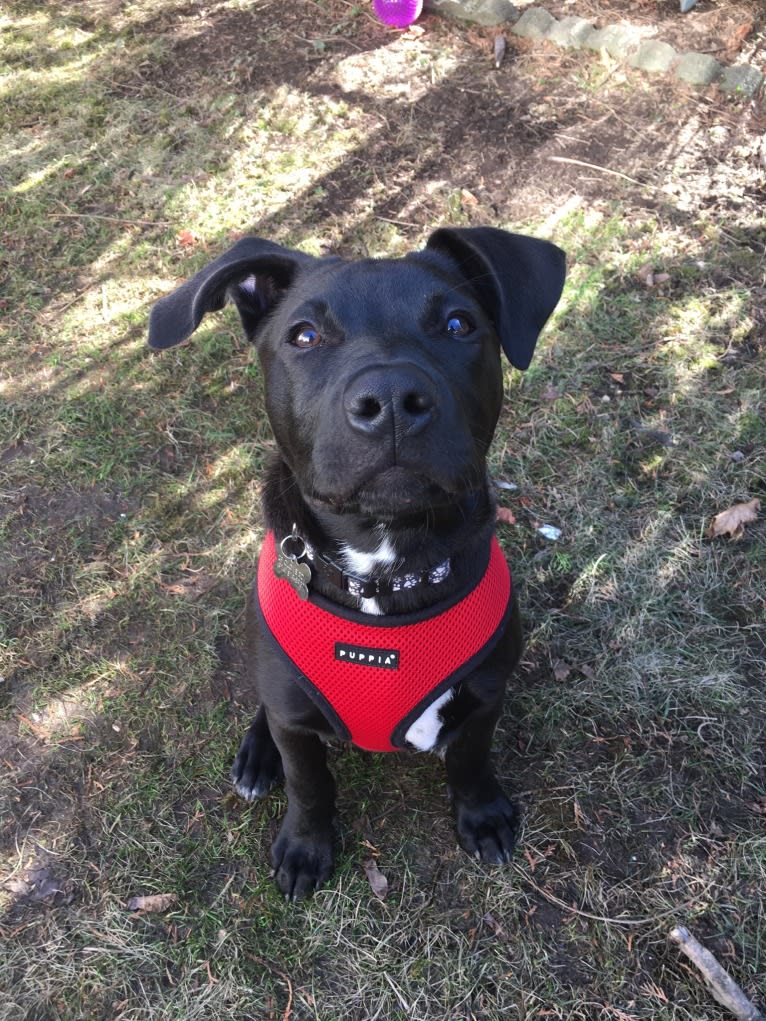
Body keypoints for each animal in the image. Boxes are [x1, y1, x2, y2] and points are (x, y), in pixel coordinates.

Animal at [150, 227, 567, 898]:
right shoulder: (295, 721)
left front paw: (481, 816)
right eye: (304, 336)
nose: (392, 399)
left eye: (459, 324)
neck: (382, 570)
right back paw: (256, 755)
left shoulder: (484, 696)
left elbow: (471, 760)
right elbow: (309, 784)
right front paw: (305, 847)